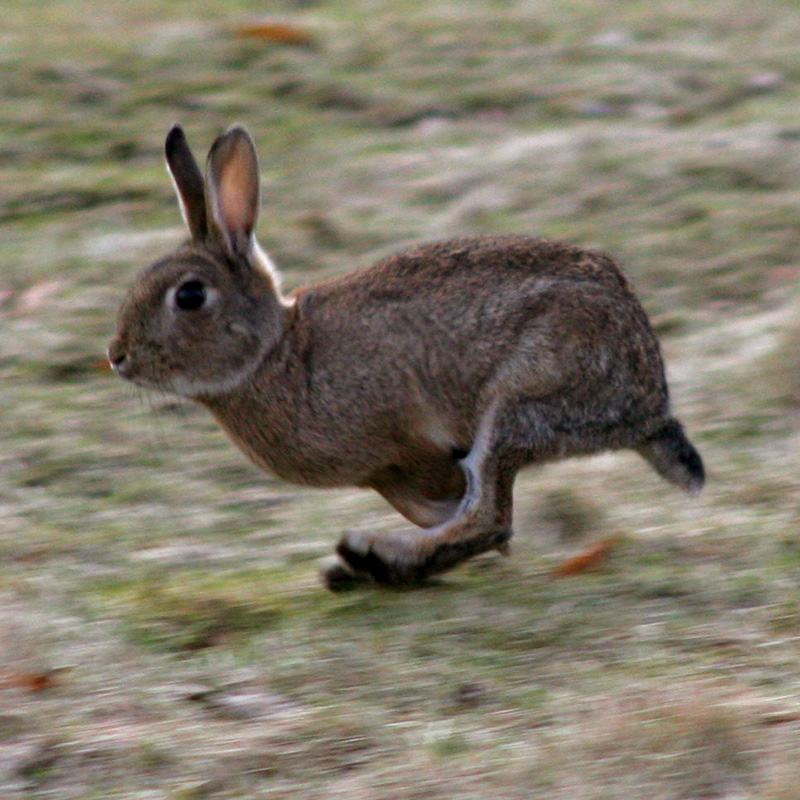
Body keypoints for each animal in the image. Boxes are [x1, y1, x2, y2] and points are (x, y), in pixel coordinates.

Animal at [109, 123, 704, 588]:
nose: (116, 356)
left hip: (523, 404)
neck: (275, 351)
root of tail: (650, 401)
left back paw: (370, 557)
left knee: (490, 512)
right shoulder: (393, 477)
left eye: (189, 296)